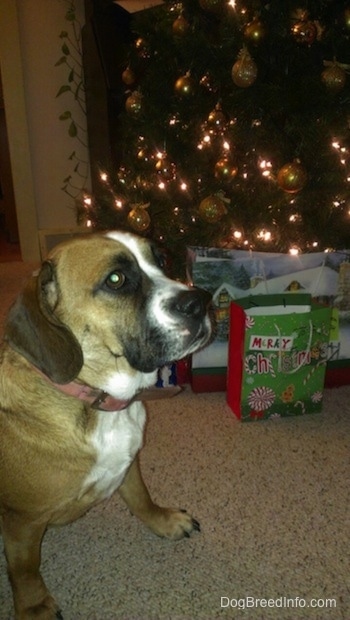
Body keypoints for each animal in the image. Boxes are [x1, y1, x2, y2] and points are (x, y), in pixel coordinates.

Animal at [0, 231, 213, 620]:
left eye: (161, 260)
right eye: (116, 279)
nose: (200, 302)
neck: (97, 402)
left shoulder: (129, 464)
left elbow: (142, 498)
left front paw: (163, 521)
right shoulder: (21, 521)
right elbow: (24, 569)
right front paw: (34, 605)